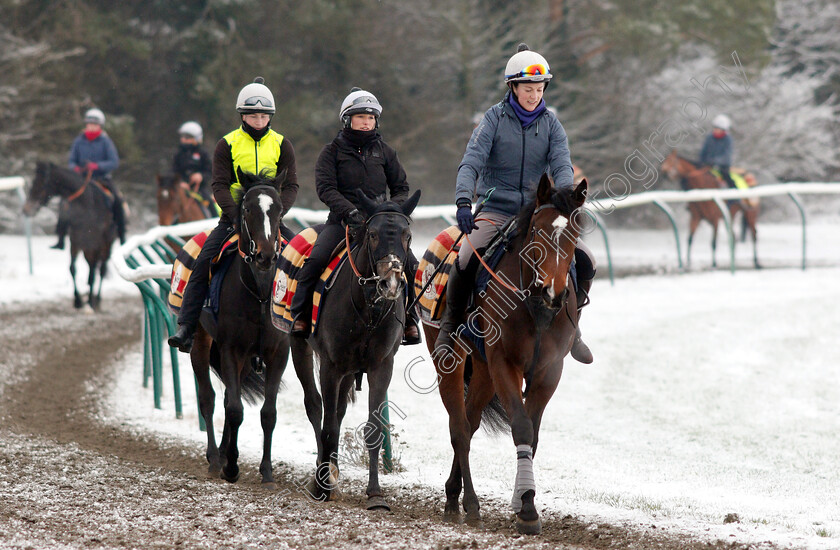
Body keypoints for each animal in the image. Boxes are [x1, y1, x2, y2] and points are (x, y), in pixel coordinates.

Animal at [22, 163, 116, 310]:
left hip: (106, 246)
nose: (26, 209)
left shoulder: (94, 244)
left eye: (41, 184)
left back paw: (97, 299)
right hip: (86, 249)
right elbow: (72, 269)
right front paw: (77, 300)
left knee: (101, 269)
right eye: (33, 182)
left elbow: (92, 273)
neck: (86, 206)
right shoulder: (75, 242)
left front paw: (89, 302)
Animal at [187, 170, 322, 490]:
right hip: (201, 341)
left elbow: (268, 413)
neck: (259, 293)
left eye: (278, 210)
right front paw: (231, 466)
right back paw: (216, 459)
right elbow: (235, 410)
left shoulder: (277, 352)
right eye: (247, 209)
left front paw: (267, 472)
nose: (265, 256)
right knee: (209, 398)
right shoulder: (230, 348)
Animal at [290, 190, 424, 512]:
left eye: (408, 235)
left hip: (351, 370)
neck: (368, 308)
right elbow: (327, 426)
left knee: (337, 412)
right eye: (373, 234)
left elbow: (373, 428)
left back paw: (333, 473)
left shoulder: (380, 365)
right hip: (299, 347)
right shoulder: (331, 365)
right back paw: (324, 477)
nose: (390, 283)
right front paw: (321, 487)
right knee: (315, 407)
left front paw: (375, 494)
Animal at [424, 175, 588, 536]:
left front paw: (524, 501)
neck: (535, 306)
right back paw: (468, 503)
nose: (554, 291)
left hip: (483, 371)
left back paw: (454, 495)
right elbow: (522, 427)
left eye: (574, 234)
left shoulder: (549, 371)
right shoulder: (504, 363)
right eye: (538, 231)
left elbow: (534, 435)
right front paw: (526, 508)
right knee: (459, 428)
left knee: (470, 422)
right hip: (452, 361)